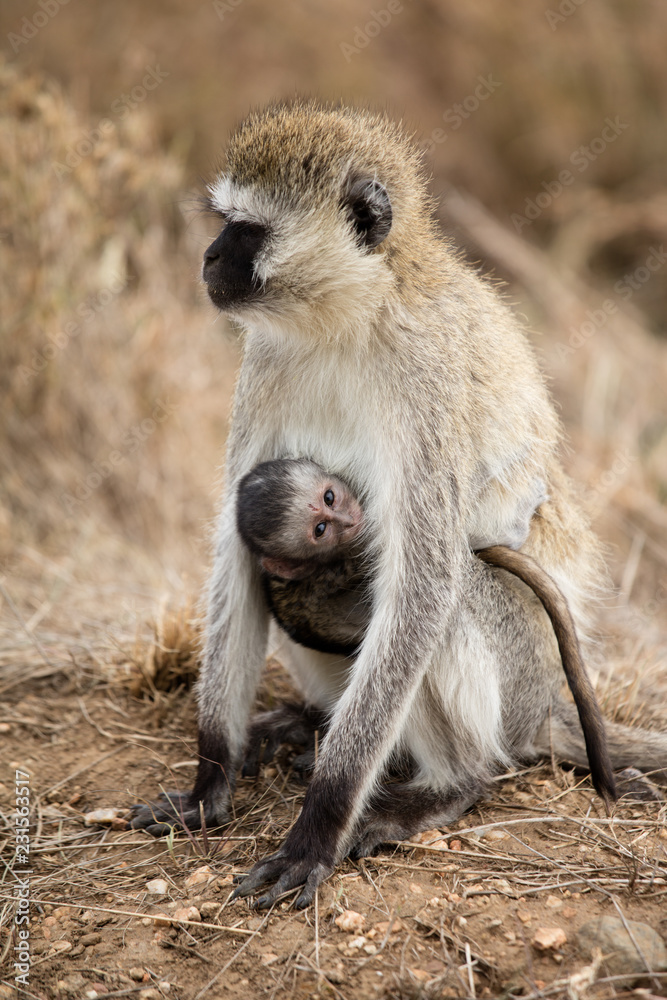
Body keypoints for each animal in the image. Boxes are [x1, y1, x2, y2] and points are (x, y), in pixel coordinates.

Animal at [132, 101, 667, 908]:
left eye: (246, 231)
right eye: (224, 224)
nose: (208, 258)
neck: (350, 318)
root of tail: (542, 710)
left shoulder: (425, 372)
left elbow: (422, 578)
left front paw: (317, 828)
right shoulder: (264, 362)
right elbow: (237, 556)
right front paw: (208, 780)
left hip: (518, 678)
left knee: (441, 605)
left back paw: (452, 784)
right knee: (284, 584)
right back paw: (306, 722)